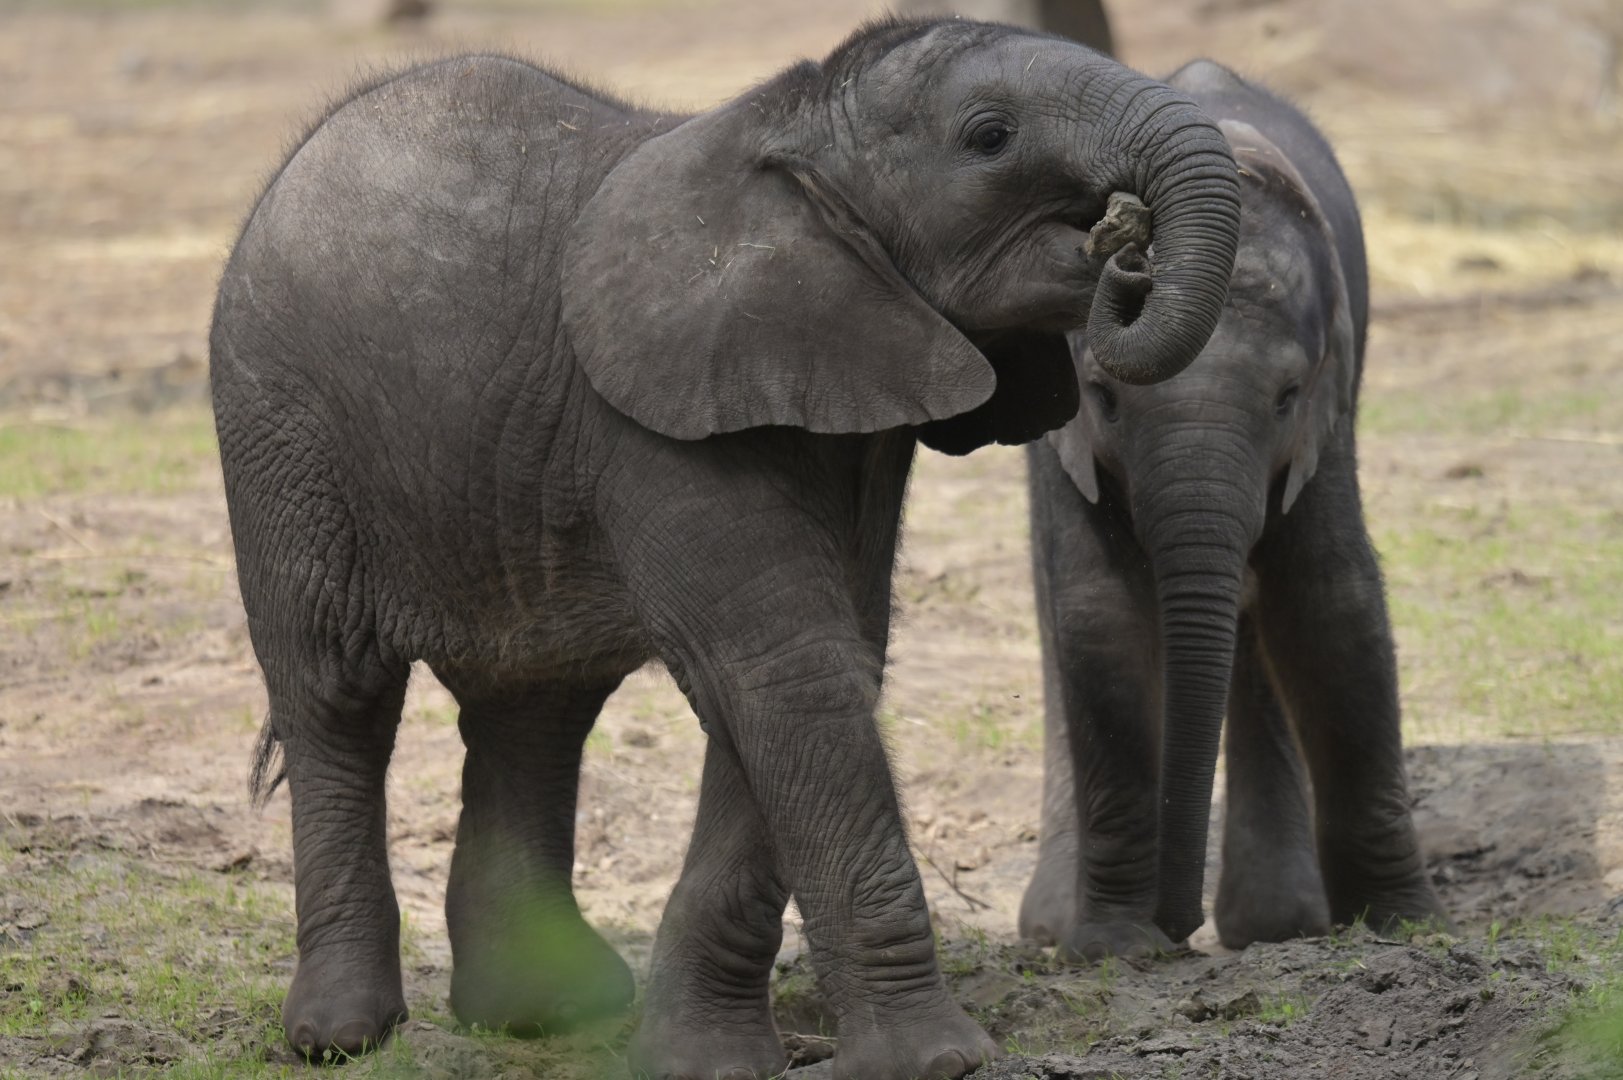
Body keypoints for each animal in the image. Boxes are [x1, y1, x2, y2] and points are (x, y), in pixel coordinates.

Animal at [209, 17, 1242, 1080]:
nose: (1126, 249)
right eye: (988, 137)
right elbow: (783, 669)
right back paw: (341, 1034)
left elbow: (816, 669)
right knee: (336, 695)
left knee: (535, 707)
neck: (793, 134)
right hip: (280, 435)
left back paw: (544, 1013)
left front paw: (701, 1058)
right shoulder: (659, 419)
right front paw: (936, 1061)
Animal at [1018, 59, 1446, 960]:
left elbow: (1329, 605)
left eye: (1285, 397)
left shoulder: (1329, 409)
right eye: (1103, 399)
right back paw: (1054, 925)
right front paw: (1114, 946)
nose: (1177, 926)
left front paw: (1407, 925)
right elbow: (1100, 618)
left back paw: (1275, 924)